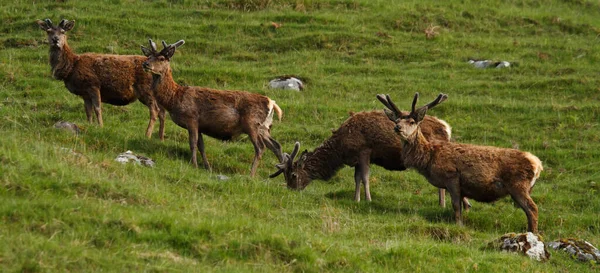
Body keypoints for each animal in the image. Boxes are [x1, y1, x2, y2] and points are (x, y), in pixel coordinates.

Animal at [380, 92, 544, 231]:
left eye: (412, 121)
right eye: (396, 120)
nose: (397, 127)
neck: (429, 159)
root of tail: (537, 165)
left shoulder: (451, 176)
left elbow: (456, 206)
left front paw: (459, 225)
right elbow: (464, 204)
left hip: (518, 185)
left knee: (532, 208)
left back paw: (533, 233)